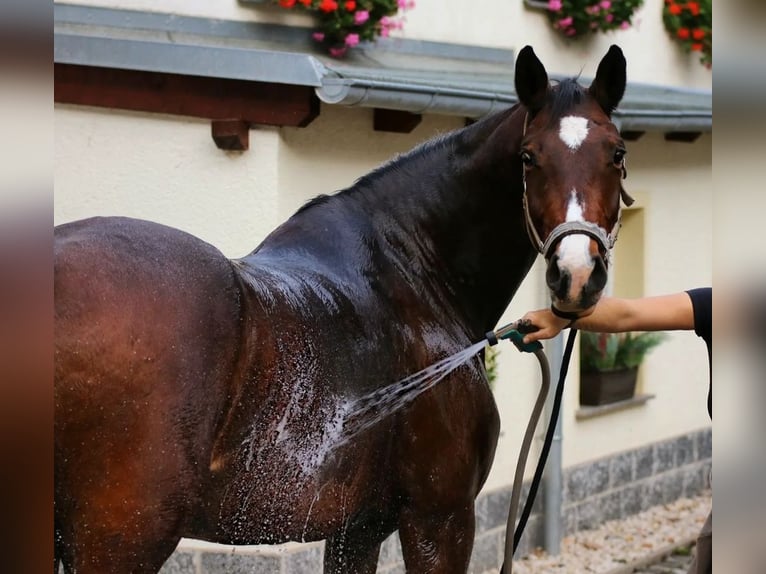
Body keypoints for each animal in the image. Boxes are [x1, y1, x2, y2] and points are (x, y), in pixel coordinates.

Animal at [52, 46, 632, 574]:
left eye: (617, 153)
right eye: (529, 157)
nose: (576, 275)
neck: (412, 269)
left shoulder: (358, 528)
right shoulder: (439, 517)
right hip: (123, 539)